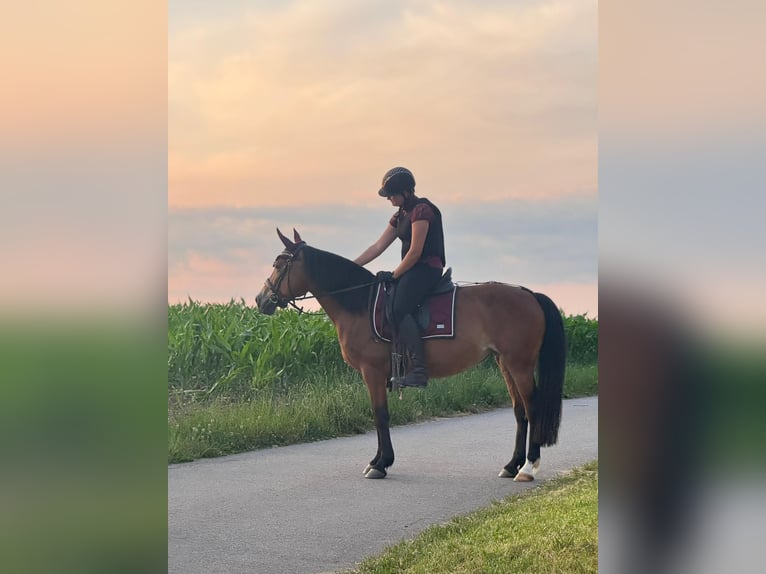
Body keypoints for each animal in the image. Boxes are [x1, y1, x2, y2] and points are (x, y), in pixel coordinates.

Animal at [256, 228, 566, 481]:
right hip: (505, 362)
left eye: (279, 264)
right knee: (519, 412)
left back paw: (528, 467)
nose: (261, 299)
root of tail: (529, 294)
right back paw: (512, 465)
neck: (359, 304)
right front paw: (378, 460)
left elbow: (380, 414)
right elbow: (378, 414)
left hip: (519, 364)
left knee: (532, 408)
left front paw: (381, 464)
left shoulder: (372, 371)